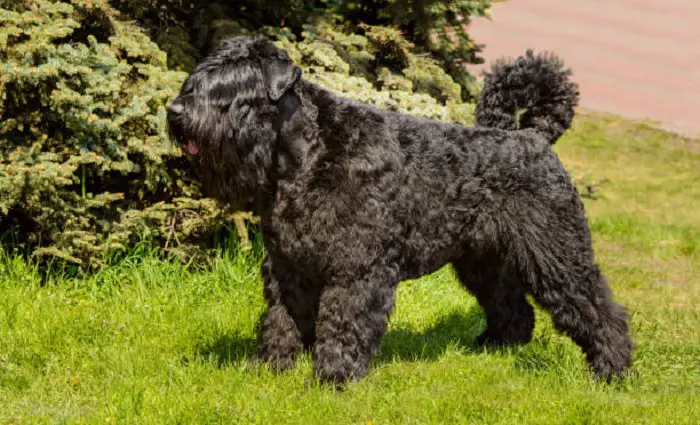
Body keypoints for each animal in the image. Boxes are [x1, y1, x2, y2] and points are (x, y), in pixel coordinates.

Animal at [168, 34, 636, 386]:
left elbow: (343, 323)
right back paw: (494, 348)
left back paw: (612, 370)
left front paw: (332, 380)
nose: (175, 111)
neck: (308, 153)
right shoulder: (288, 266)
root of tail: (533, 136)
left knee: (597, 306)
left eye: (232, 89)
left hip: (555, 251)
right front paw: (269, 368)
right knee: (511, 306)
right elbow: (282, 320)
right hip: (482, 261)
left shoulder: (355, 269)